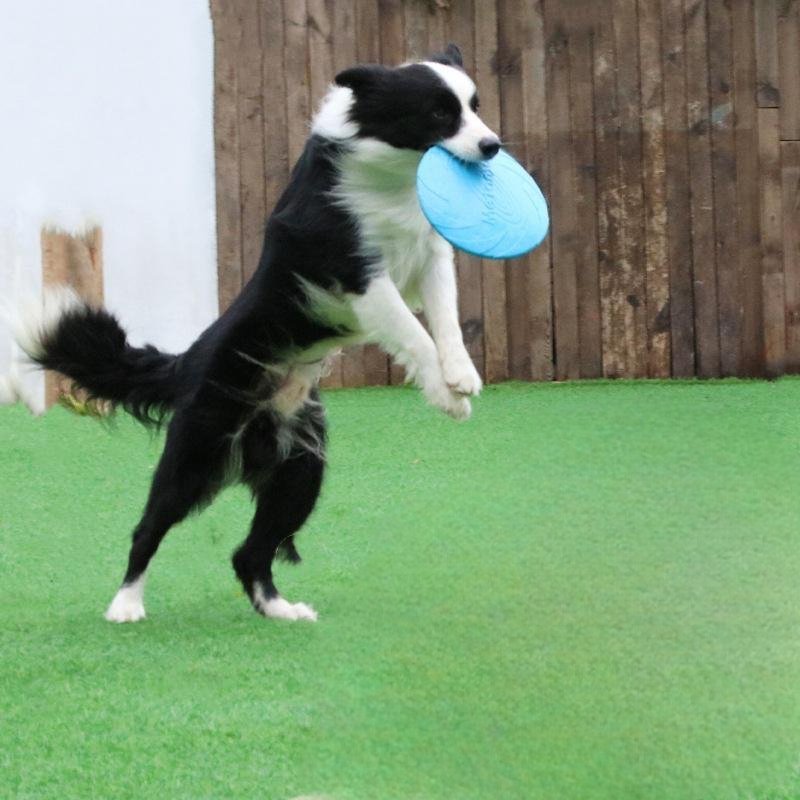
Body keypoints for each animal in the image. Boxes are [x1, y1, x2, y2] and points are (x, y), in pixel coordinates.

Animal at [6, 43, 500, 620]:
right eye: (440, 113)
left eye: (474, 106)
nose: (493, 146)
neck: (392, 174)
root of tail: (187, 362)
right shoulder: (356, 275)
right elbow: (414, 334)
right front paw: (446, 395)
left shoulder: (430, 256)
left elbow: (446, 321)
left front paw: (460, 379)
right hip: (194, 456)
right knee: (147, 529)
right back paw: (125, 606)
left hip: (301, 467)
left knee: (249, 551)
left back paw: (280, 611)